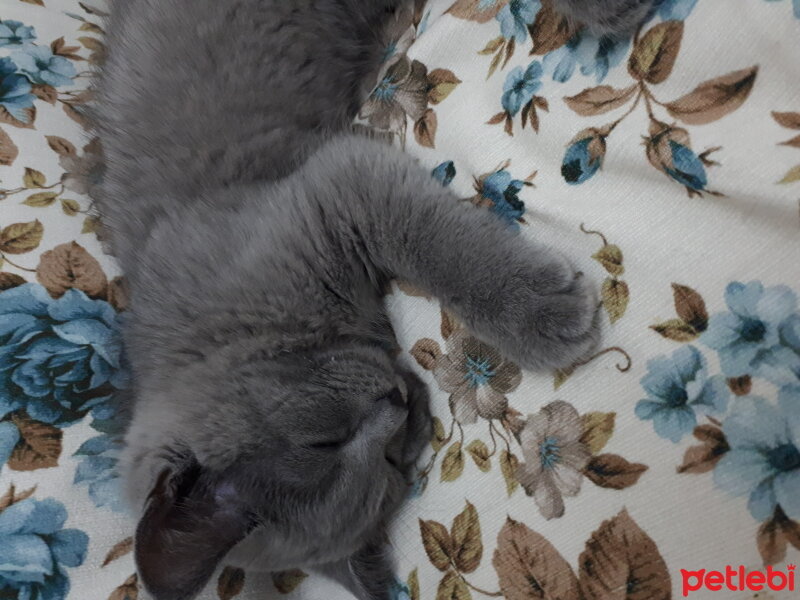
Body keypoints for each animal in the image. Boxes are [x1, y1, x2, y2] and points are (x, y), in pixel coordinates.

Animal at [92, 1, 656, 600]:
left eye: (324, 441)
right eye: (389, 461)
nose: (399, 399)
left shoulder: (330, 186)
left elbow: (428, 242)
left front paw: (543, 314)